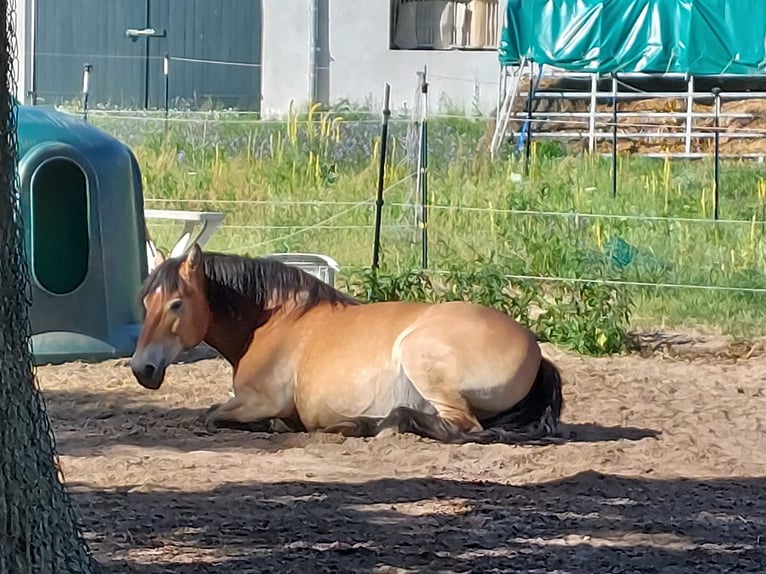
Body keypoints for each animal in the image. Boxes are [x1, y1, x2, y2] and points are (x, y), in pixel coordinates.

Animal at [130, 243, 564, 446]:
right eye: (145, 301)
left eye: (175, 303)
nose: (141, 368)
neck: (275, 320)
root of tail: (536, 351)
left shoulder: (259, 400)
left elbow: (213, 415)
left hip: (420, 356)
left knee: (462, 427)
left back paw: (377, 424)